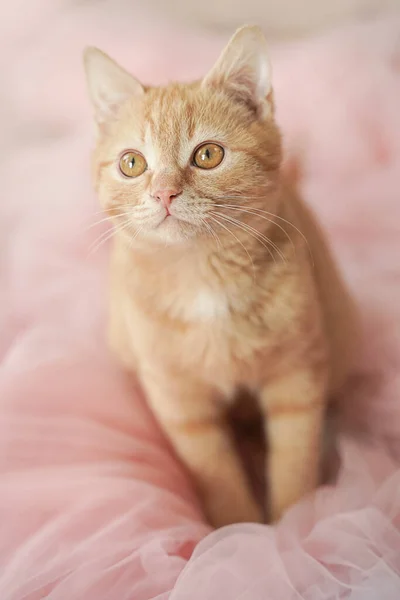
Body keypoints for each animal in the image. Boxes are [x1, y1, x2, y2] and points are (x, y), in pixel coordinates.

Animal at [83, 25, 356, 528]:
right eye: (132, 163)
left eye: (208, 155)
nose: (164, 192)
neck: (202, 278)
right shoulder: (177, 396)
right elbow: (215, 470)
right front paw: (237, 529)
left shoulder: (298, 373)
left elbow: (294, 458)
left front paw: (290, 527)